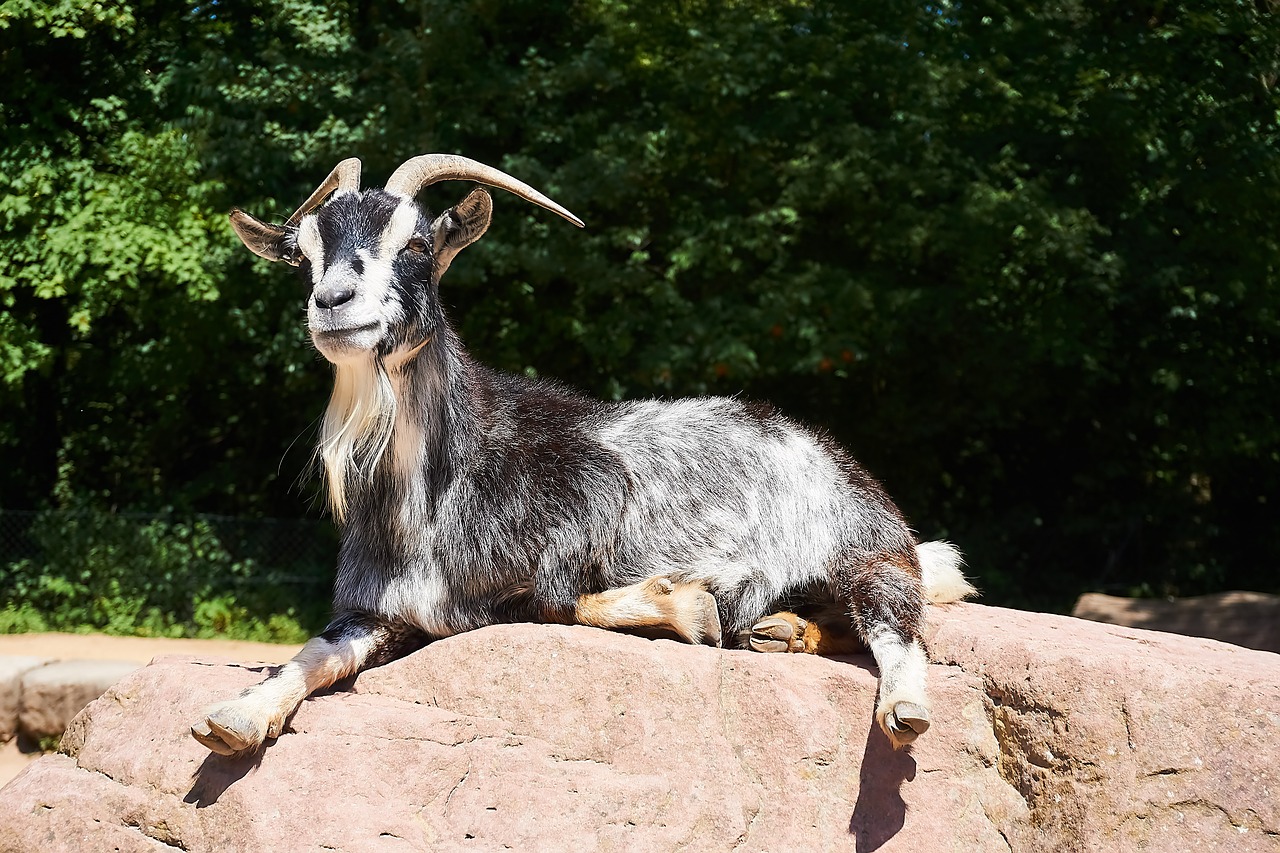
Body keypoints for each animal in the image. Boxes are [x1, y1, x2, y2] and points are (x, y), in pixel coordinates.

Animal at [189, 149, 972, 753]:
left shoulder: (582, 515)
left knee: (896, 619)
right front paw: (235, 716)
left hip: (863, 545)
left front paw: (688, 605)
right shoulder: (383, 609)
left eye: (414, 244)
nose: (333, 302)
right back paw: (780, 629)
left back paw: (901, 707)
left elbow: (557, 601)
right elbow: (315, 651)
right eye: (304, 255)